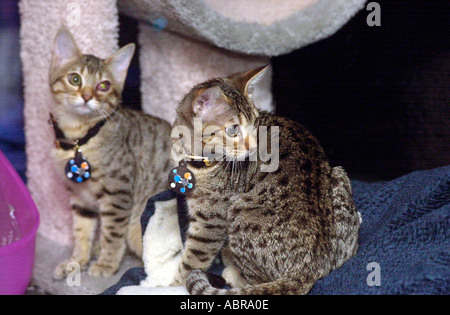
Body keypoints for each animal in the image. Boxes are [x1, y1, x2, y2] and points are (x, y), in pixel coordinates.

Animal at [50, 27, 171, 278]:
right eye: (74, 79)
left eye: (103, 86)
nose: (87, 96)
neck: (79, 138)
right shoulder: (80, 197)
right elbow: (82, 232)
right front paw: (76, 261)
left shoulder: (118, 193)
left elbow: (113, 233)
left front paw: (106, 263)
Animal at [171, 67, 362, 296]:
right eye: (233, 129)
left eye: (255, 124)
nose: (254, 146)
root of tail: (311, 265)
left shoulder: (211, 218)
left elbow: (193, 259)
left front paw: (169, 285)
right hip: (338, 176)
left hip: (238, 212)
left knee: (255, 282)